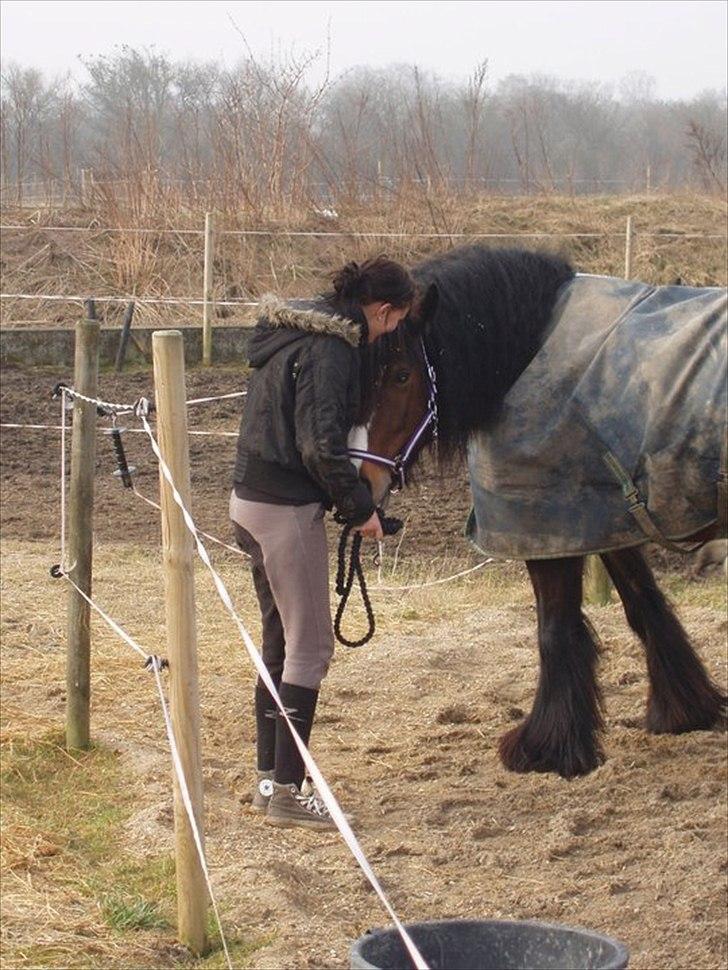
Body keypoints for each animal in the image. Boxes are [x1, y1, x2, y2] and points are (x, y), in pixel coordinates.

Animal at [356, 246, 724, 776]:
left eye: (402, 374)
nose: (361, 481)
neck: (525, 351)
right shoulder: (599, 518)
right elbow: (645, 606)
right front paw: (683, 709)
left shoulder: (546, 523)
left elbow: (556, 630)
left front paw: (546, 747)